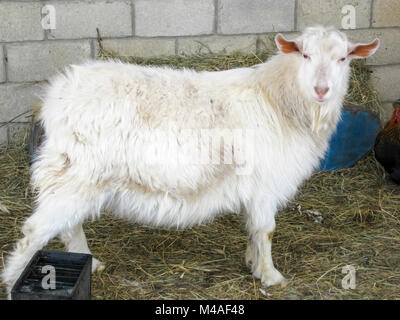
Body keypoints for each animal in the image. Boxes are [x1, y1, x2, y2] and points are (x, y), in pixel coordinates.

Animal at [2, 26, 378, 294]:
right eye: (304, 54)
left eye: (344, 59)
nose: (322, 90)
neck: (279, 100)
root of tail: (55, 96)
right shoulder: (265, 183)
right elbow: (266, 230)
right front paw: (271, 275)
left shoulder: (253, 187)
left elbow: (253, 229)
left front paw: (252, 263)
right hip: (73, 173)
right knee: (35, 231)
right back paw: (13, 280)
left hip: (77, 177)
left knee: (69, 225)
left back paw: (91, 264)